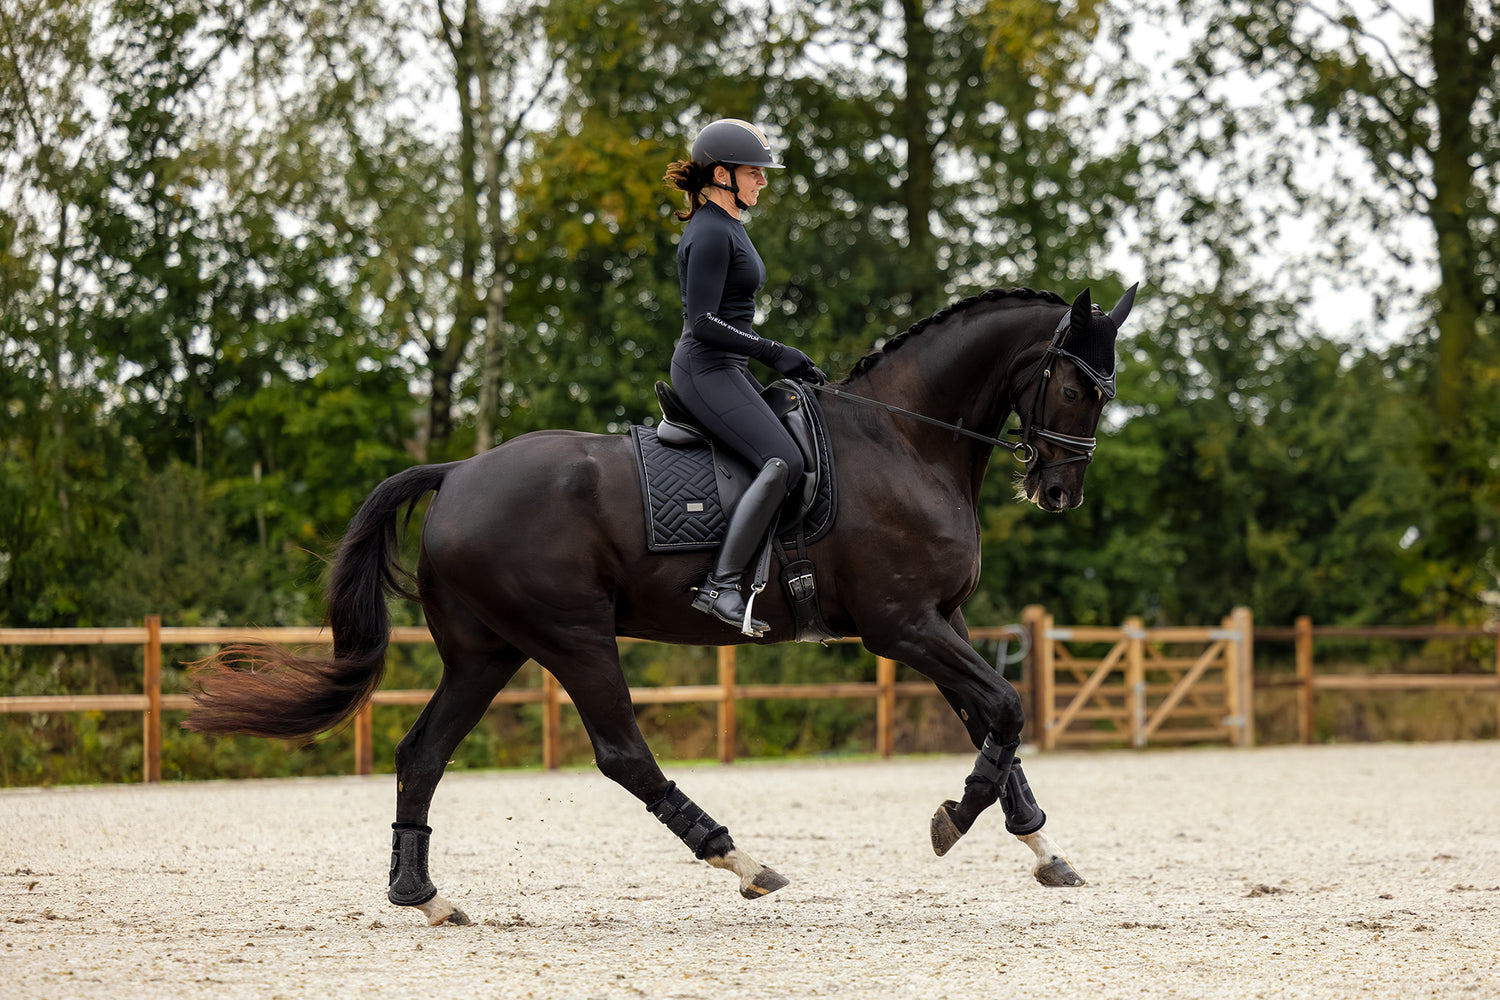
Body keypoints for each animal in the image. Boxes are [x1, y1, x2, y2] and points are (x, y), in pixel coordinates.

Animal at [187, 284, 1134, 929]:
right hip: (572, 637)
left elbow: (997, 723)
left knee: (422, 753)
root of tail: (456, 474)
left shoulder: (945, 621)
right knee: (622, 755)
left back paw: (423, 896)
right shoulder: (903, 626)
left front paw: (1042, 848)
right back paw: (742, 862)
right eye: (1078, 389)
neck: (904, 438)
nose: (1058, 492)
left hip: (487, 652)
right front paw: (954, 820)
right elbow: (1004, 709)